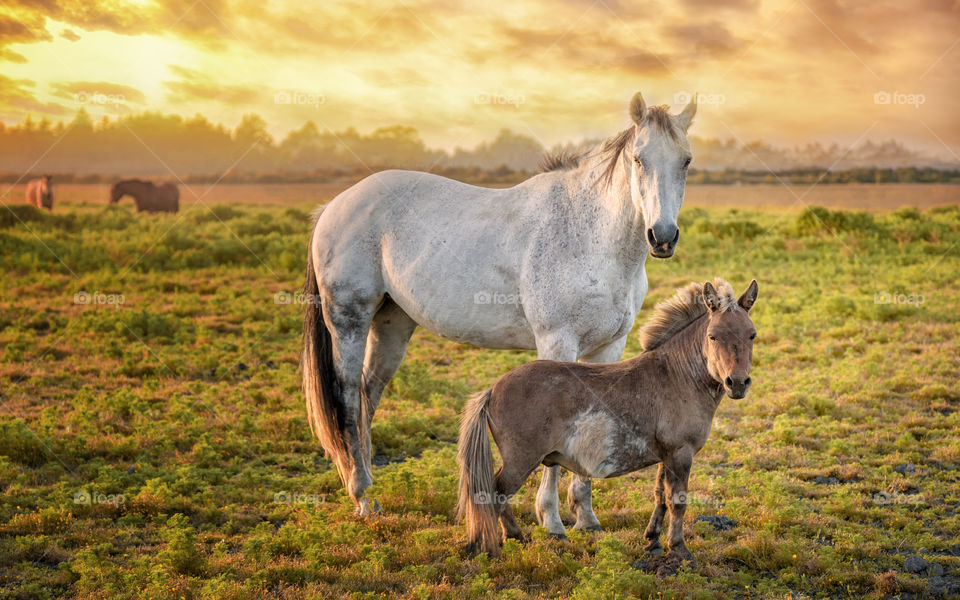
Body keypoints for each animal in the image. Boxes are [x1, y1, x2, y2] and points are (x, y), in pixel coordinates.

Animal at [304, 90, 692, 540]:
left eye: (686, 161)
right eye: (638, 158)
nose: (662, 237)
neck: (587, 232)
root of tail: (334, 205)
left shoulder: (609, 347)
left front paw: (586, 517)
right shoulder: (557, 342)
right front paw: (551, 520)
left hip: (393, 323)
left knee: (370, 393)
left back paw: (368, 487)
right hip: (348, 319)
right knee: (348, 396)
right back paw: (363, 497)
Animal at [458, 280, 756, 572]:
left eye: (751, 335)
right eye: (713, 336)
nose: (737, 383)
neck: (677, 375)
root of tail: (493, 390)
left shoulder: (667, 455)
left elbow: (660, 496)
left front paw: (653, 542)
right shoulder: (681, 453)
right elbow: (677, 502)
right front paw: (680, 550)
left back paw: (516, 538)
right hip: (520, 462)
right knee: (495, 495)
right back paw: (495, 549)